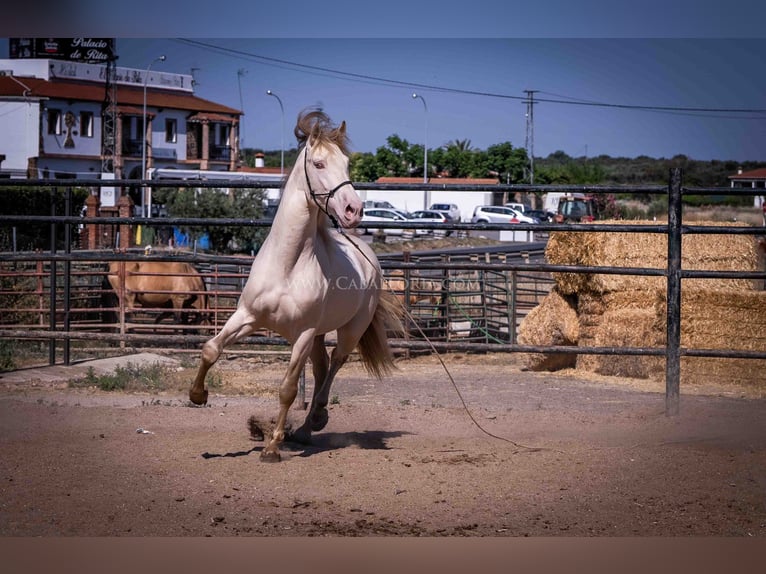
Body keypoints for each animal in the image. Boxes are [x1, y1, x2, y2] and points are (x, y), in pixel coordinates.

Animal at [189, 110, 402, 464]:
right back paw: (308, 426)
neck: (287, 265)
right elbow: (211, 349)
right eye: (318, 163)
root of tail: (367, 254)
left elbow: (288, 389)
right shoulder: (248, 317)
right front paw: (197, 395)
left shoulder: (302, 334)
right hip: (317, 336)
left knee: (335, 364)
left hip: (348, 331)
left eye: (346, 164)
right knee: (321, 367)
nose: (353, 210)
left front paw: (272, 447)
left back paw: (312, 421)